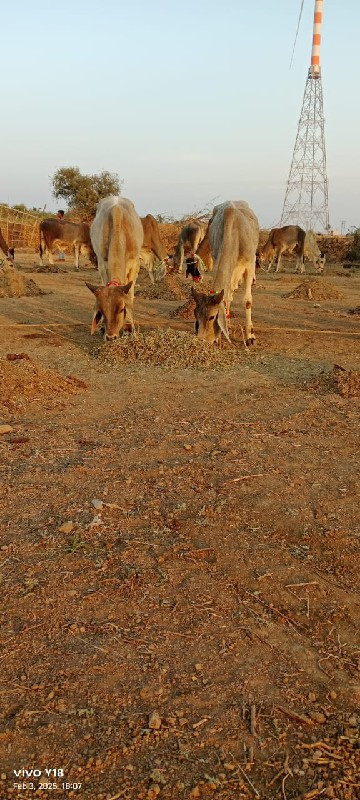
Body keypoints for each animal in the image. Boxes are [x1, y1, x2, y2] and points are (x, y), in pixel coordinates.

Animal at [86, 198, 143, 342]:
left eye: (122, 309)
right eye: (101, 311)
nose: (111, 336)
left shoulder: (135, 265)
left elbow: (129, 295)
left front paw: (128, 328)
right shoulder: (102, 263)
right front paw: (102, 327)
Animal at [191, 200, 258, 344]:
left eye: (212, 317)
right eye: (195, 314)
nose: (203, 340)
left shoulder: (249, 265)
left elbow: (247, 301)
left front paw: (250, 335)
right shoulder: (217, 260)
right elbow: (226, 296)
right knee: (229, 294)